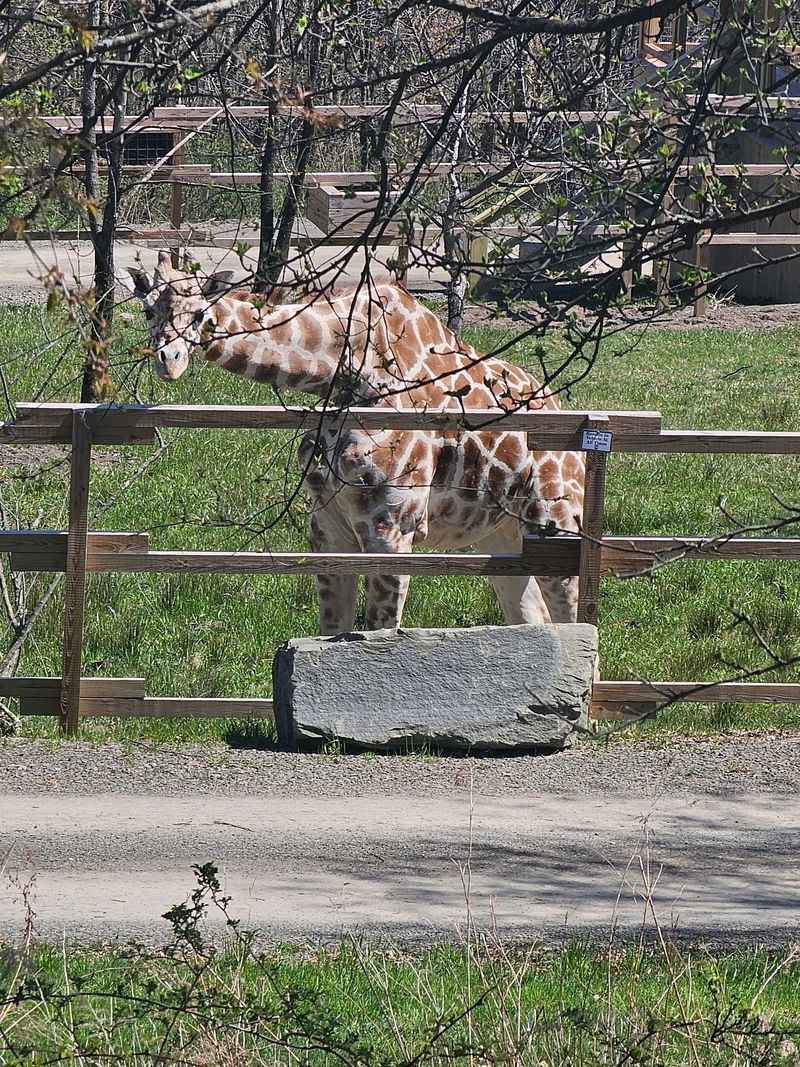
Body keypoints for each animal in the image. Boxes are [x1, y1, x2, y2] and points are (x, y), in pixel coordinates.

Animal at [127, 251, 585, 634]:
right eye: (147, 309)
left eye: (199, 314)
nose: (169, 362)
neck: (344, 371)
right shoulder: (327, 525)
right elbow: (332, 631)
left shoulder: (392, 527)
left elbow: (378, 635)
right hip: (501, 535)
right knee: (533, 617)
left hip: (556, 523)